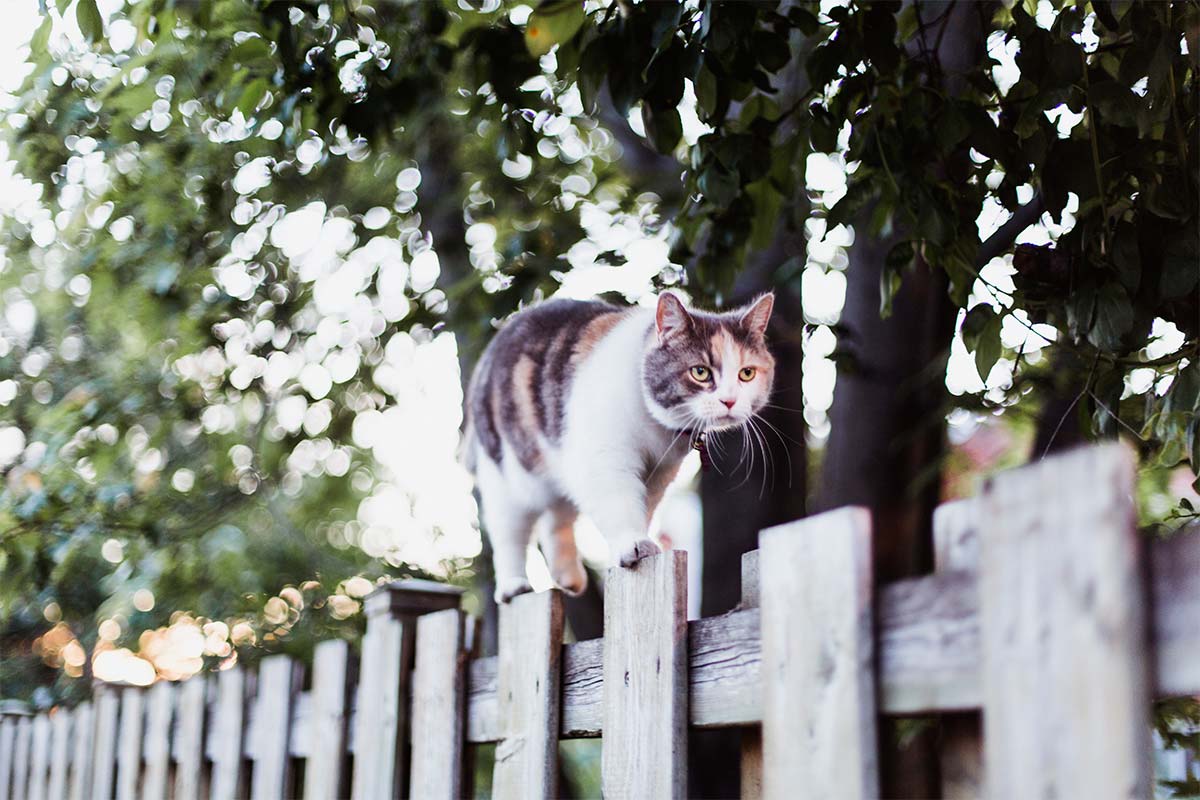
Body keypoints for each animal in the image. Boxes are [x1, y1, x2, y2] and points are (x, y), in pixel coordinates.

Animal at [464, 291, 776, 602]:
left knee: (557, 518)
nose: (730, 400)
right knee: (509, 532)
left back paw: (569, 578)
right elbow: (620, 503)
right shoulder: (605, 459)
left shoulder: (659, 471)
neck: (656, 428)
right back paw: (514, 585)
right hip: (508, 476)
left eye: (747, 374)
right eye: (700, 372)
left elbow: (643, 507)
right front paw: (632, 545)